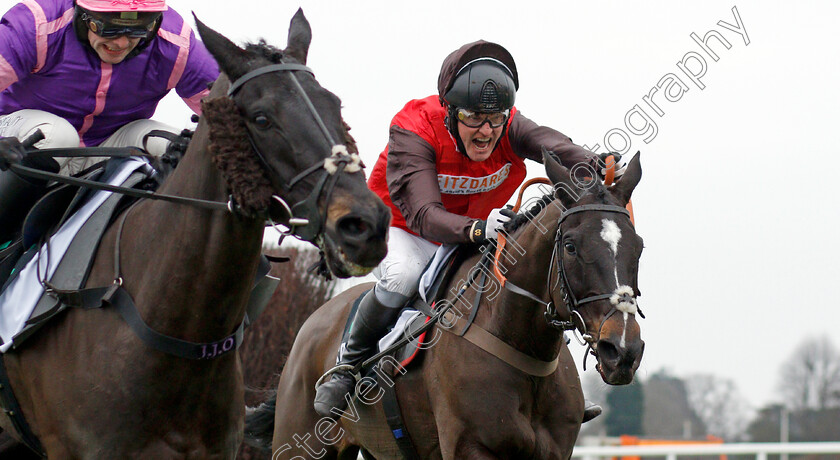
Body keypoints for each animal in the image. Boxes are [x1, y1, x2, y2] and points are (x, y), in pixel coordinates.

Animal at [246, 152, 648, 460]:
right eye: (571, 246)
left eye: (639, 246)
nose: (622, 349)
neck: (517, 342)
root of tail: (312, 322)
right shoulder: (471, 447)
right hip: (300, 442)